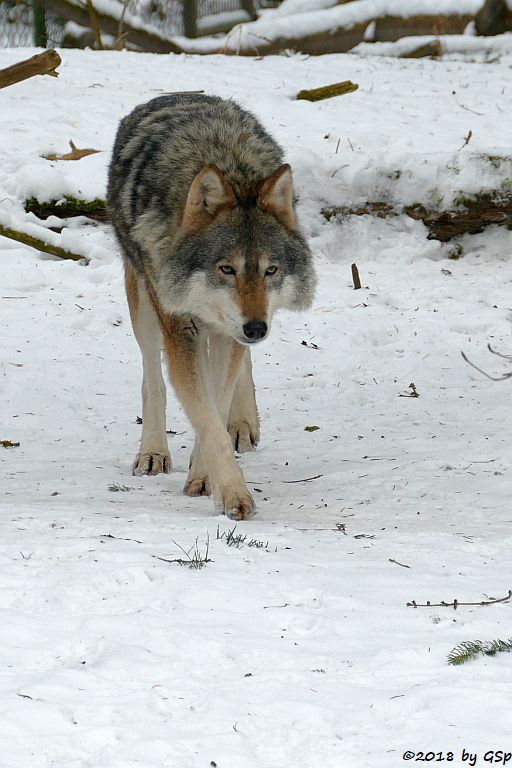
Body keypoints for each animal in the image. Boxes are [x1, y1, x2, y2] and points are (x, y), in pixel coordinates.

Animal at [107, 93, 316, 520]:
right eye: (226, 269)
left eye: (270, 270)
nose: (257, 329)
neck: (225, 163)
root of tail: (181, 92)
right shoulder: (180, 328)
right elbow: (201, 410)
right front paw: (233, 493)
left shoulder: (230, 330)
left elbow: (215, 405)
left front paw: (205, 476)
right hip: (144, 305)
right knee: (152, 378)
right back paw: (152, 451)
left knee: (240, 370)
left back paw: (243, 424)